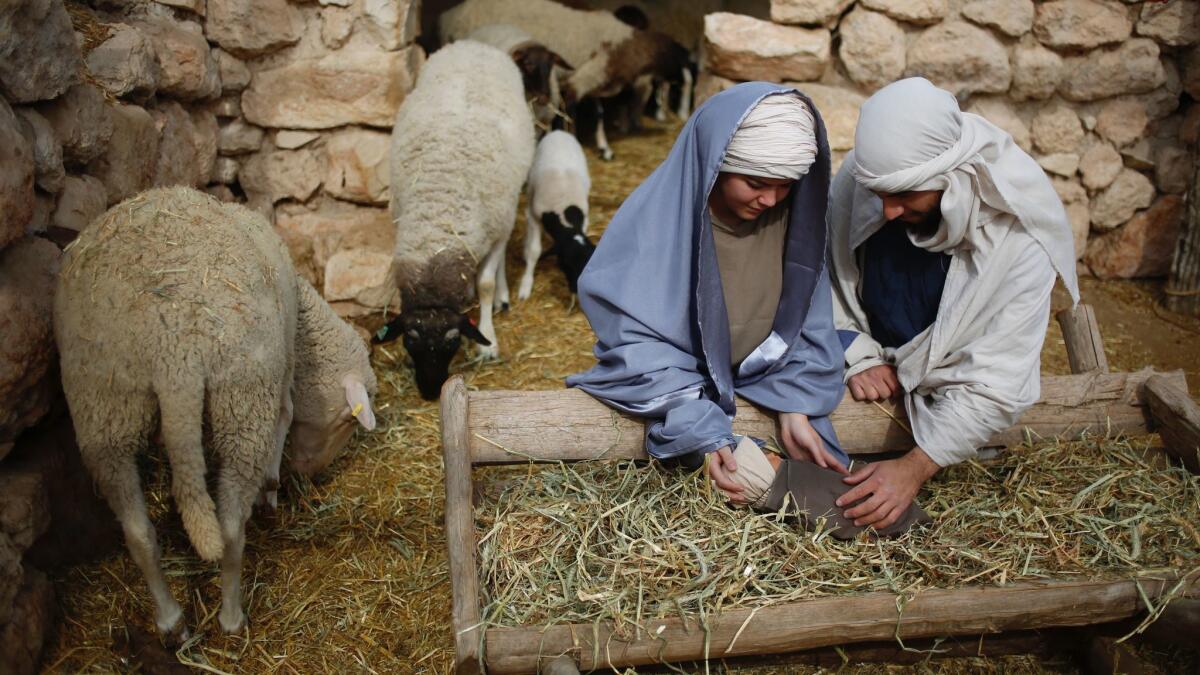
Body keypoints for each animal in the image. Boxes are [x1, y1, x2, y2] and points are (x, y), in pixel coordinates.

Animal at [52, 187, 374, 634]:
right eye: (347, 421)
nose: (308, 471)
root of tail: (172, 352)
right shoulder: (282, 374)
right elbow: (285, 416)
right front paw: (271, 488)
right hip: (241, 400)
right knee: (229, 527)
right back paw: (231, 617)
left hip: (102, 406)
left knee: (137, 530)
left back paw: (171, 621)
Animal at [376, 39, 537, 398]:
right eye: (410, 341)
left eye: (452, 342)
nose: (431, 391)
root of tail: (473, 44)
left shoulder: (496, 229)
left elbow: (487, 284)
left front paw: (489, 341)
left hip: (507, 212)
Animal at [520, 128, 595, 299]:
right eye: (567, 264)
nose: (576, 290)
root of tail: (559, 130)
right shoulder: (534, 217)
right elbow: (534, 251)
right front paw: (525, 286)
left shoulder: (585, 220)